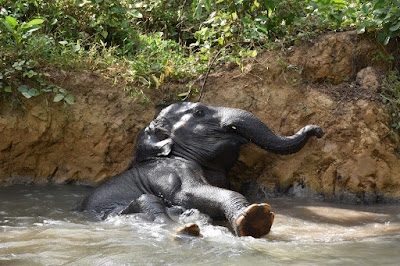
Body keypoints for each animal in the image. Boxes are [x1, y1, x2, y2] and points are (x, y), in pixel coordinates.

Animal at [76, 101, 324, 237]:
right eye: (199, 113)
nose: (318, 130)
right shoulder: (170, 171)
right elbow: (187, 193)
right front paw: (255, 217)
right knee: (149, 200)